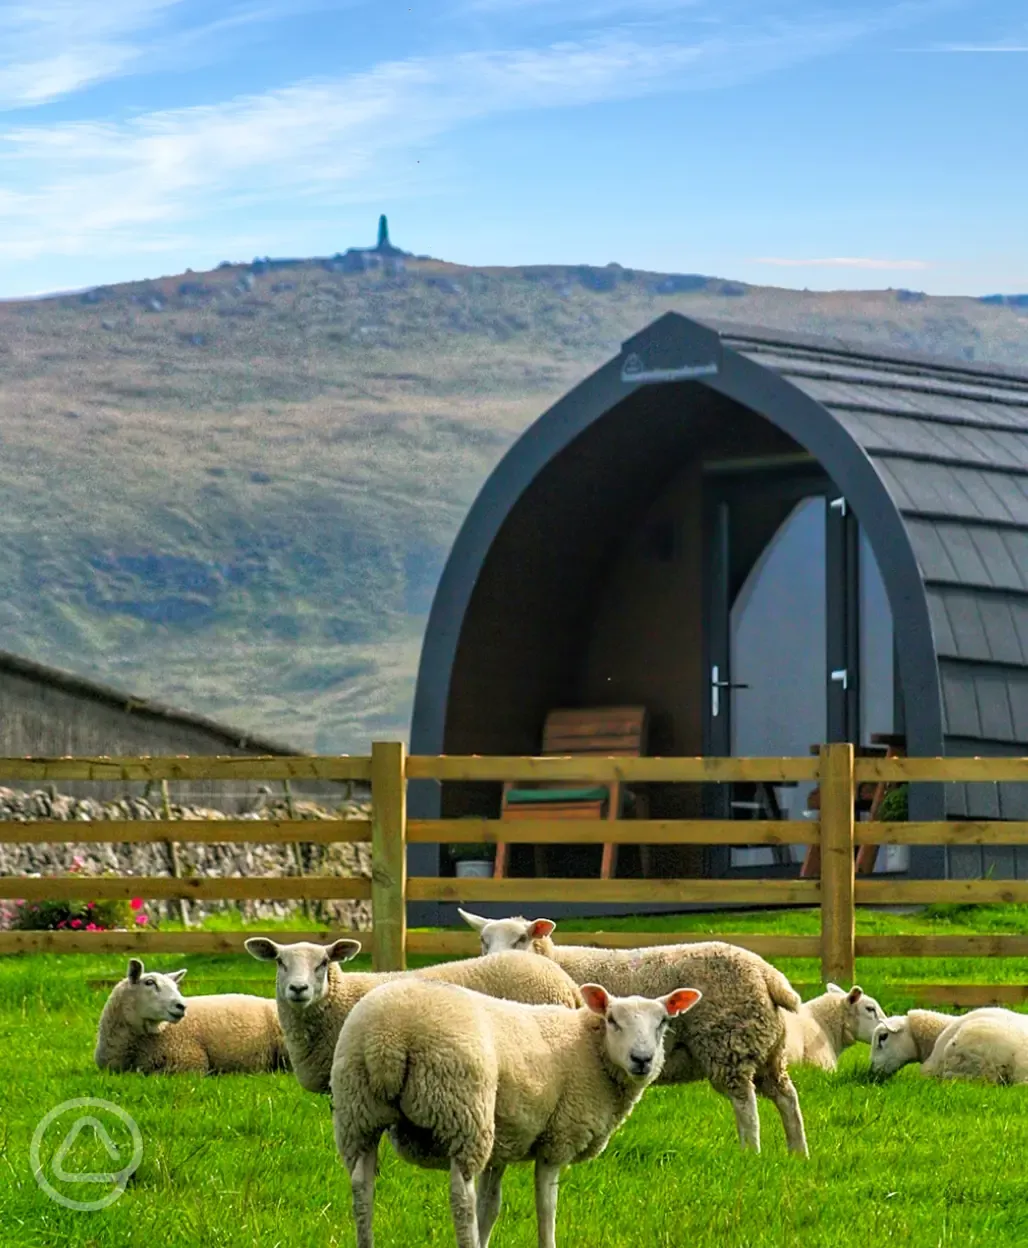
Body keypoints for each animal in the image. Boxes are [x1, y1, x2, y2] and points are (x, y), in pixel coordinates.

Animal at [334, 973, 703, 1248]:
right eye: (612, 1020)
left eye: (663, 1022)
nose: (642, 1059)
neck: (590, 1049)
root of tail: (388, 1036)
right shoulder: (557, 1139)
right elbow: (545, 1206)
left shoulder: (503, 1142)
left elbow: (491, 1206)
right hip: (462, 1112)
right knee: (461, 1199)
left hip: (357, 1111)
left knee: (361, 1190)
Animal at [461, 908, 808, 1158]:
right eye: (483, 940)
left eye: (521, 938)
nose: (495, 958)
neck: (554, 960)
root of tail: (766, 972)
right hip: (766, 1048)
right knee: (786, 1097)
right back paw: (797, 1154)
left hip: (728, 1042)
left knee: (745, 1102)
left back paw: (750, 1152)